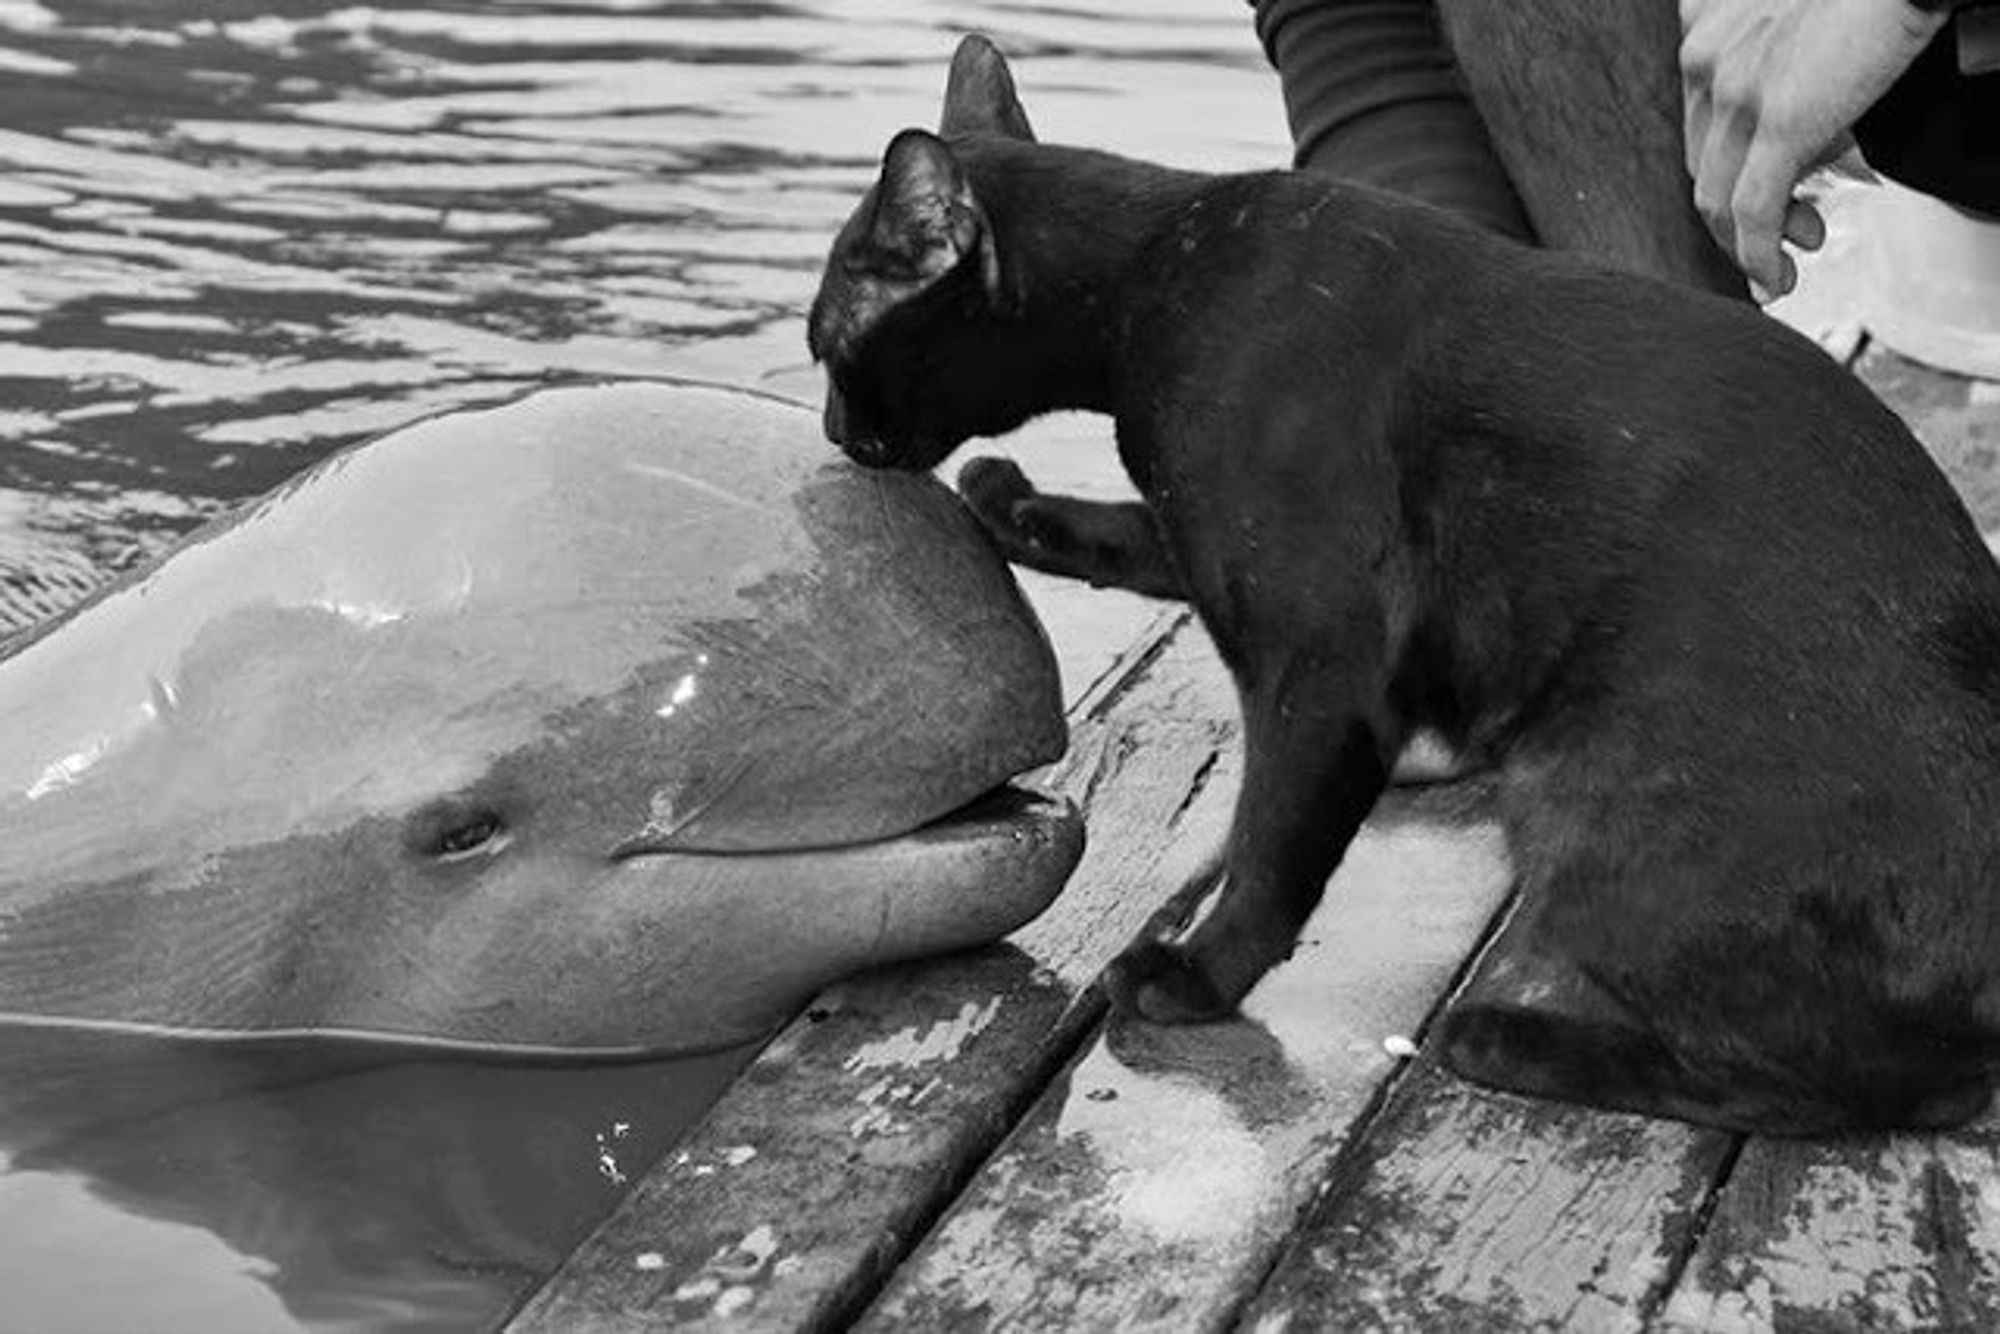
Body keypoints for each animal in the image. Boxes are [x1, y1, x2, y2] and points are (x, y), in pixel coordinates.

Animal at [800, 34, 2000, 1136]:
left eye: (825, 346)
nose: (832, 429)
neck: (1155, 274)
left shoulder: (1320, 656)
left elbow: (1270, 846)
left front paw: (1194, 975)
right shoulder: (1213, 540)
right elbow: (1131, 540)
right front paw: (1011, 501)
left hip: (1582, 802)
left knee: (1825, 1085)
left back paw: (1508, 1037)